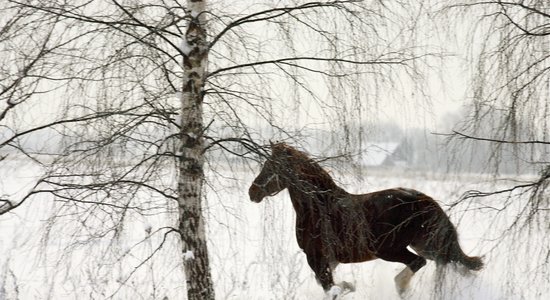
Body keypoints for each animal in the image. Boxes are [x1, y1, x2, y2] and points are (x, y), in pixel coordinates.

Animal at [249, 142, 484, 298]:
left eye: (271, 167)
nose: (253, 192)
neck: (318, 206)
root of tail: (423, 200)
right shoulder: (329, 260)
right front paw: (348, 286)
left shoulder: (316, 258)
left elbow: (330, 288)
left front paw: (348, 287)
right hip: (425, 244)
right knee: (451, 263)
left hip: (389, 249)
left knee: (418, 263)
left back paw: (402, 288)